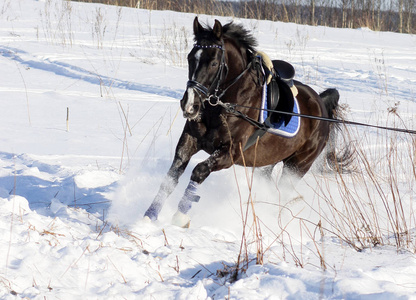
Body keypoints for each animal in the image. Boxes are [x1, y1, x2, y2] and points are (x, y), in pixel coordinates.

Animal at [145, 17, 346, 227]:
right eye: (190, 58)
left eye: (214, 63)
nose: (190, 105)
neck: (224, 105)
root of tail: (320, 103)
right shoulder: (189, 141)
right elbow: (171, 177)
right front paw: (148, 217)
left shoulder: (231, 153)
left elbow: (199, 171)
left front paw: (180, 217)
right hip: (269, 161)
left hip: (297, 166)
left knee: (283, 191)